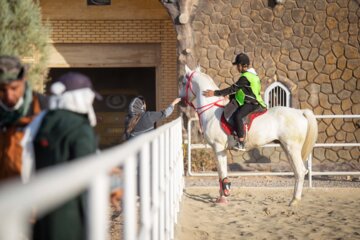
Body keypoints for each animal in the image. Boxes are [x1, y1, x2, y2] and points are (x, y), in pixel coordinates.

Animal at [180, 65, 318, 206]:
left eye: (183, 82)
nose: (180, 102)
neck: (212, 111)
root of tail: (300, 112)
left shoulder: (218, 148)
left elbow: (222, 173)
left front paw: (223, 198)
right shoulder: (219, 149)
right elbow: (221, 173)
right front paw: (221, 196)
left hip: (292, 148)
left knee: (300, 171)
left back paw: (294, 200)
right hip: (287, 148)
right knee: (296, 171)